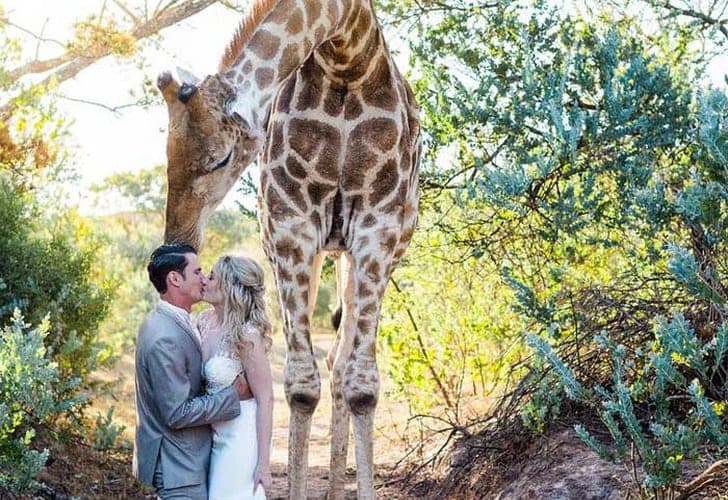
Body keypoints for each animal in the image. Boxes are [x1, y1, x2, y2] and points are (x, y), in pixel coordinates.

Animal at [158, 0, 420, 497]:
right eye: (166, 155)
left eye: (222, 157)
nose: (177, 239)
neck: (348, 59)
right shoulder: (290, 225)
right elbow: (300, 385)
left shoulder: (378, 226)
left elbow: (362, 385)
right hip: (321, 251)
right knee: (332, 364)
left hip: (364, 252)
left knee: (341, 365)